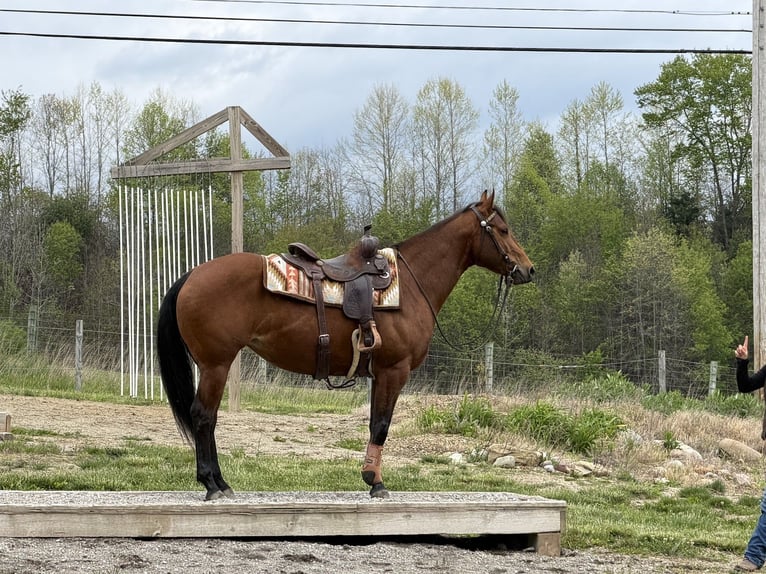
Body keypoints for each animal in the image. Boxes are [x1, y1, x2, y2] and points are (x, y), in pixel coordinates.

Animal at [157, 190, 534, 500]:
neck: (412, 284)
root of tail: (191, 276)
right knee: (203, 416)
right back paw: (212, 484)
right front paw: (375, 482)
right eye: (502, 230)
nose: (528, 270)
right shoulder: (393, 371)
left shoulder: (378, 373)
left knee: (208, 418)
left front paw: (371, 477)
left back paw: (220, 482)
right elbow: (381, 425)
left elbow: (373, 423)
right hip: (216, 365)